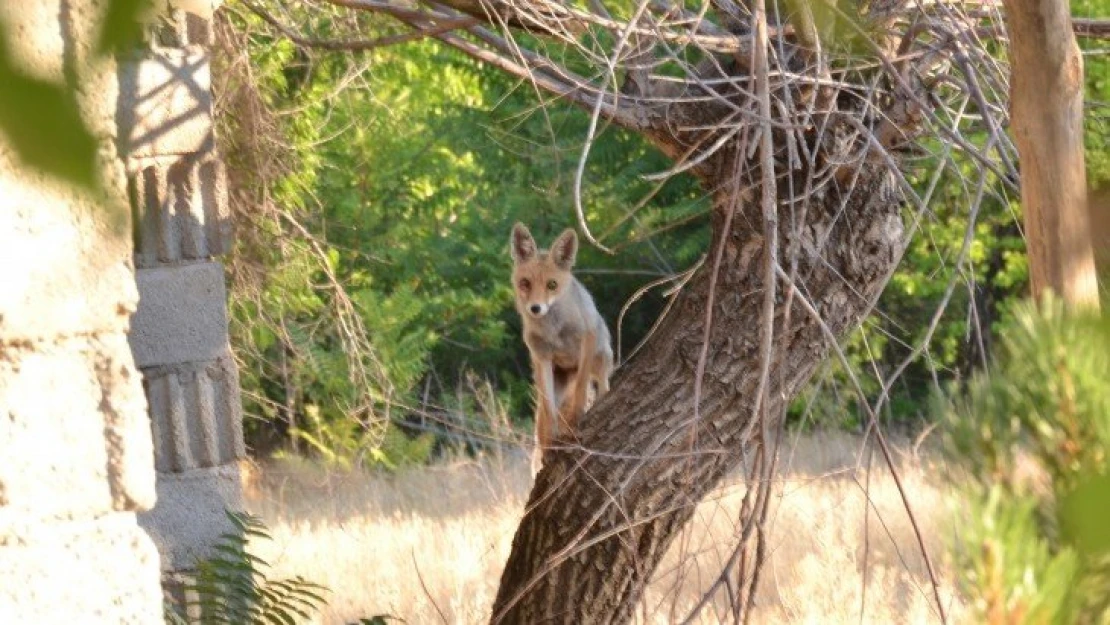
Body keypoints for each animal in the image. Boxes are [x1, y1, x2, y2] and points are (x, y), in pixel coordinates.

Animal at [510, 222, 617, 472]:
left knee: (601, 386)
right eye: (525, 283)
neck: (554, 331)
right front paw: (554, 441)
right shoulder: (542, 357)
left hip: (603, 358)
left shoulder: (587, 340)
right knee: (545, 416)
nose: (535, 308)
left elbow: (581, 390)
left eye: (552, 285)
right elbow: (550, 412)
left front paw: (576, 420)